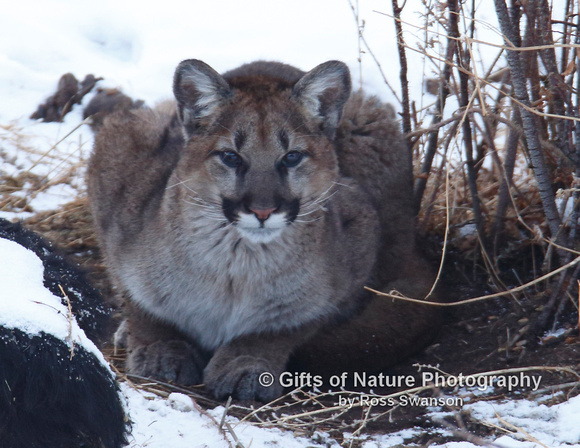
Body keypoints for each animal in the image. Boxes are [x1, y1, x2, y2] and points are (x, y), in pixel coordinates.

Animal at [87, 58, 440, 400]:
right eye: (230, 157)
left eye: (292, 157)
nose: (263, 210)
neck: (236, 264)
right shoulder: (118, 173)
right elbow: (139, 302)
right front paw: (160, 350)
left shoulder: (359, 239)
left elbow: (290, 323)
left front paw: (247, 362)